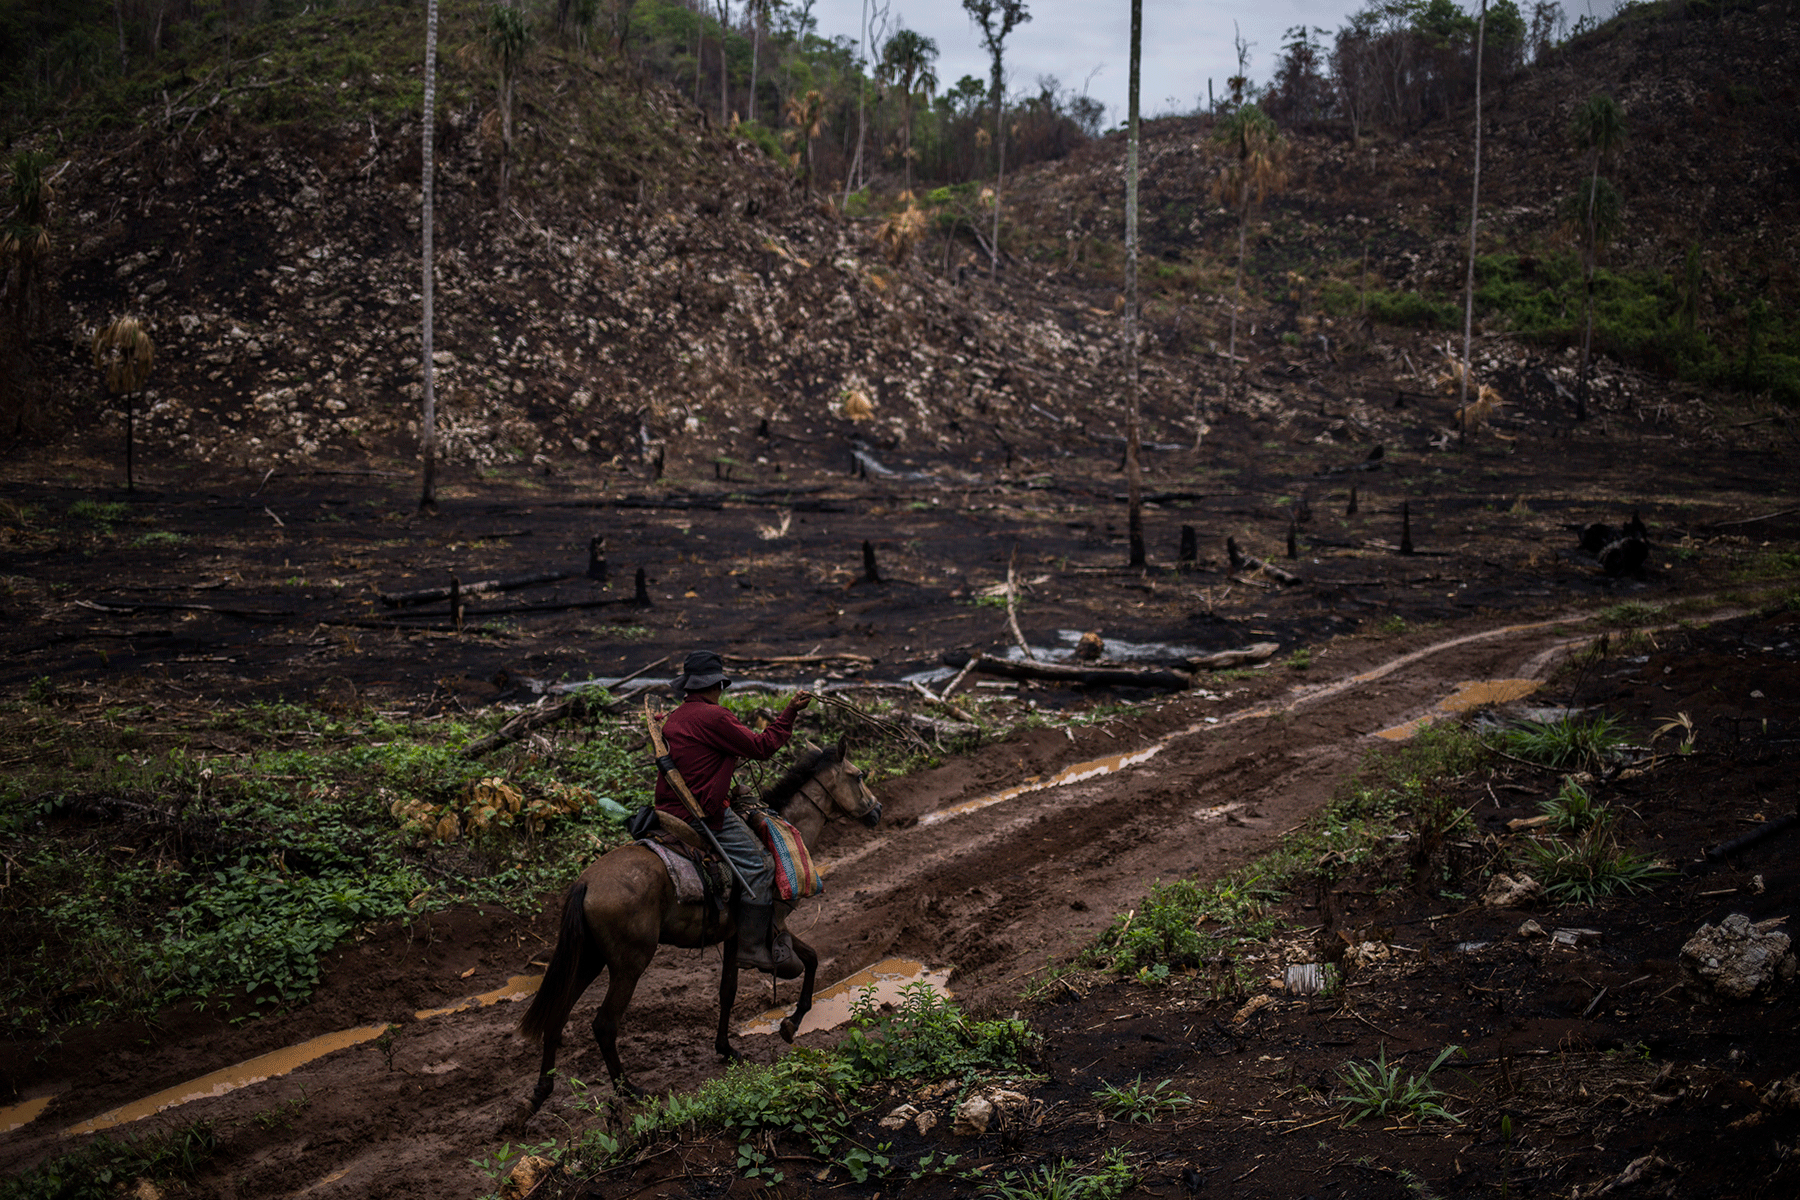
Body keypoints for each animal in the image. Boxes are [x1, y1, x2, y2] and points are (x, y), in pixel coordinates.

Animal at [518, 741, 882, 1108]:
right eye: (858, 775)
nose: (878, 810)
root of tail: (587, 882)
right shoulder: (774, 924)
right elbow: (811, 959)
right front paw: (791, 1023)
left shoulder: (736, 937)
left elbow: (728, 990)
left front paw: (727, 1048)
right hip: (629, 963)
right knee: (604, 1024)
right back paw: (628, 1088)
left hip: (590, 958)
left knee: (558, 1013)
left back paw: (543, 1088)